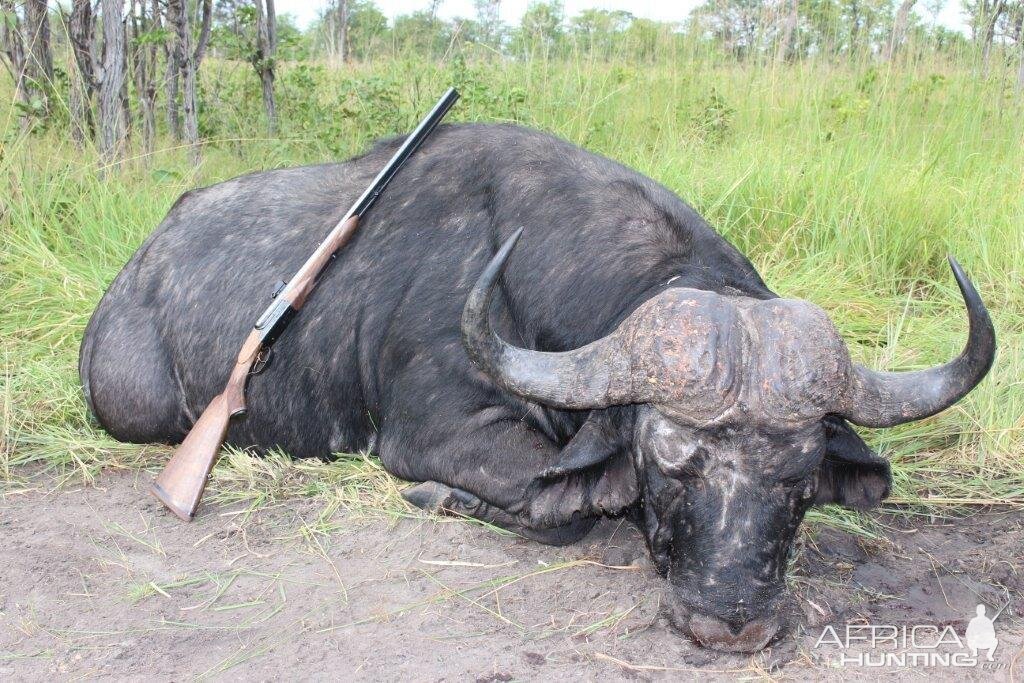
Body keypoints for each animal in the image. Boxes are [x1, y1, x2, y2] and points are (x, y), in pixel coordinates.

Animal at [83, 122, 995, 651]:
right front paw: (438, 498)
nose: (732, 622)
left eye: (801, 478)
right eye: (669, 465)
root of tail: (129, 282)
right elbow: (563, 509)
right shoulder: (439, 433)